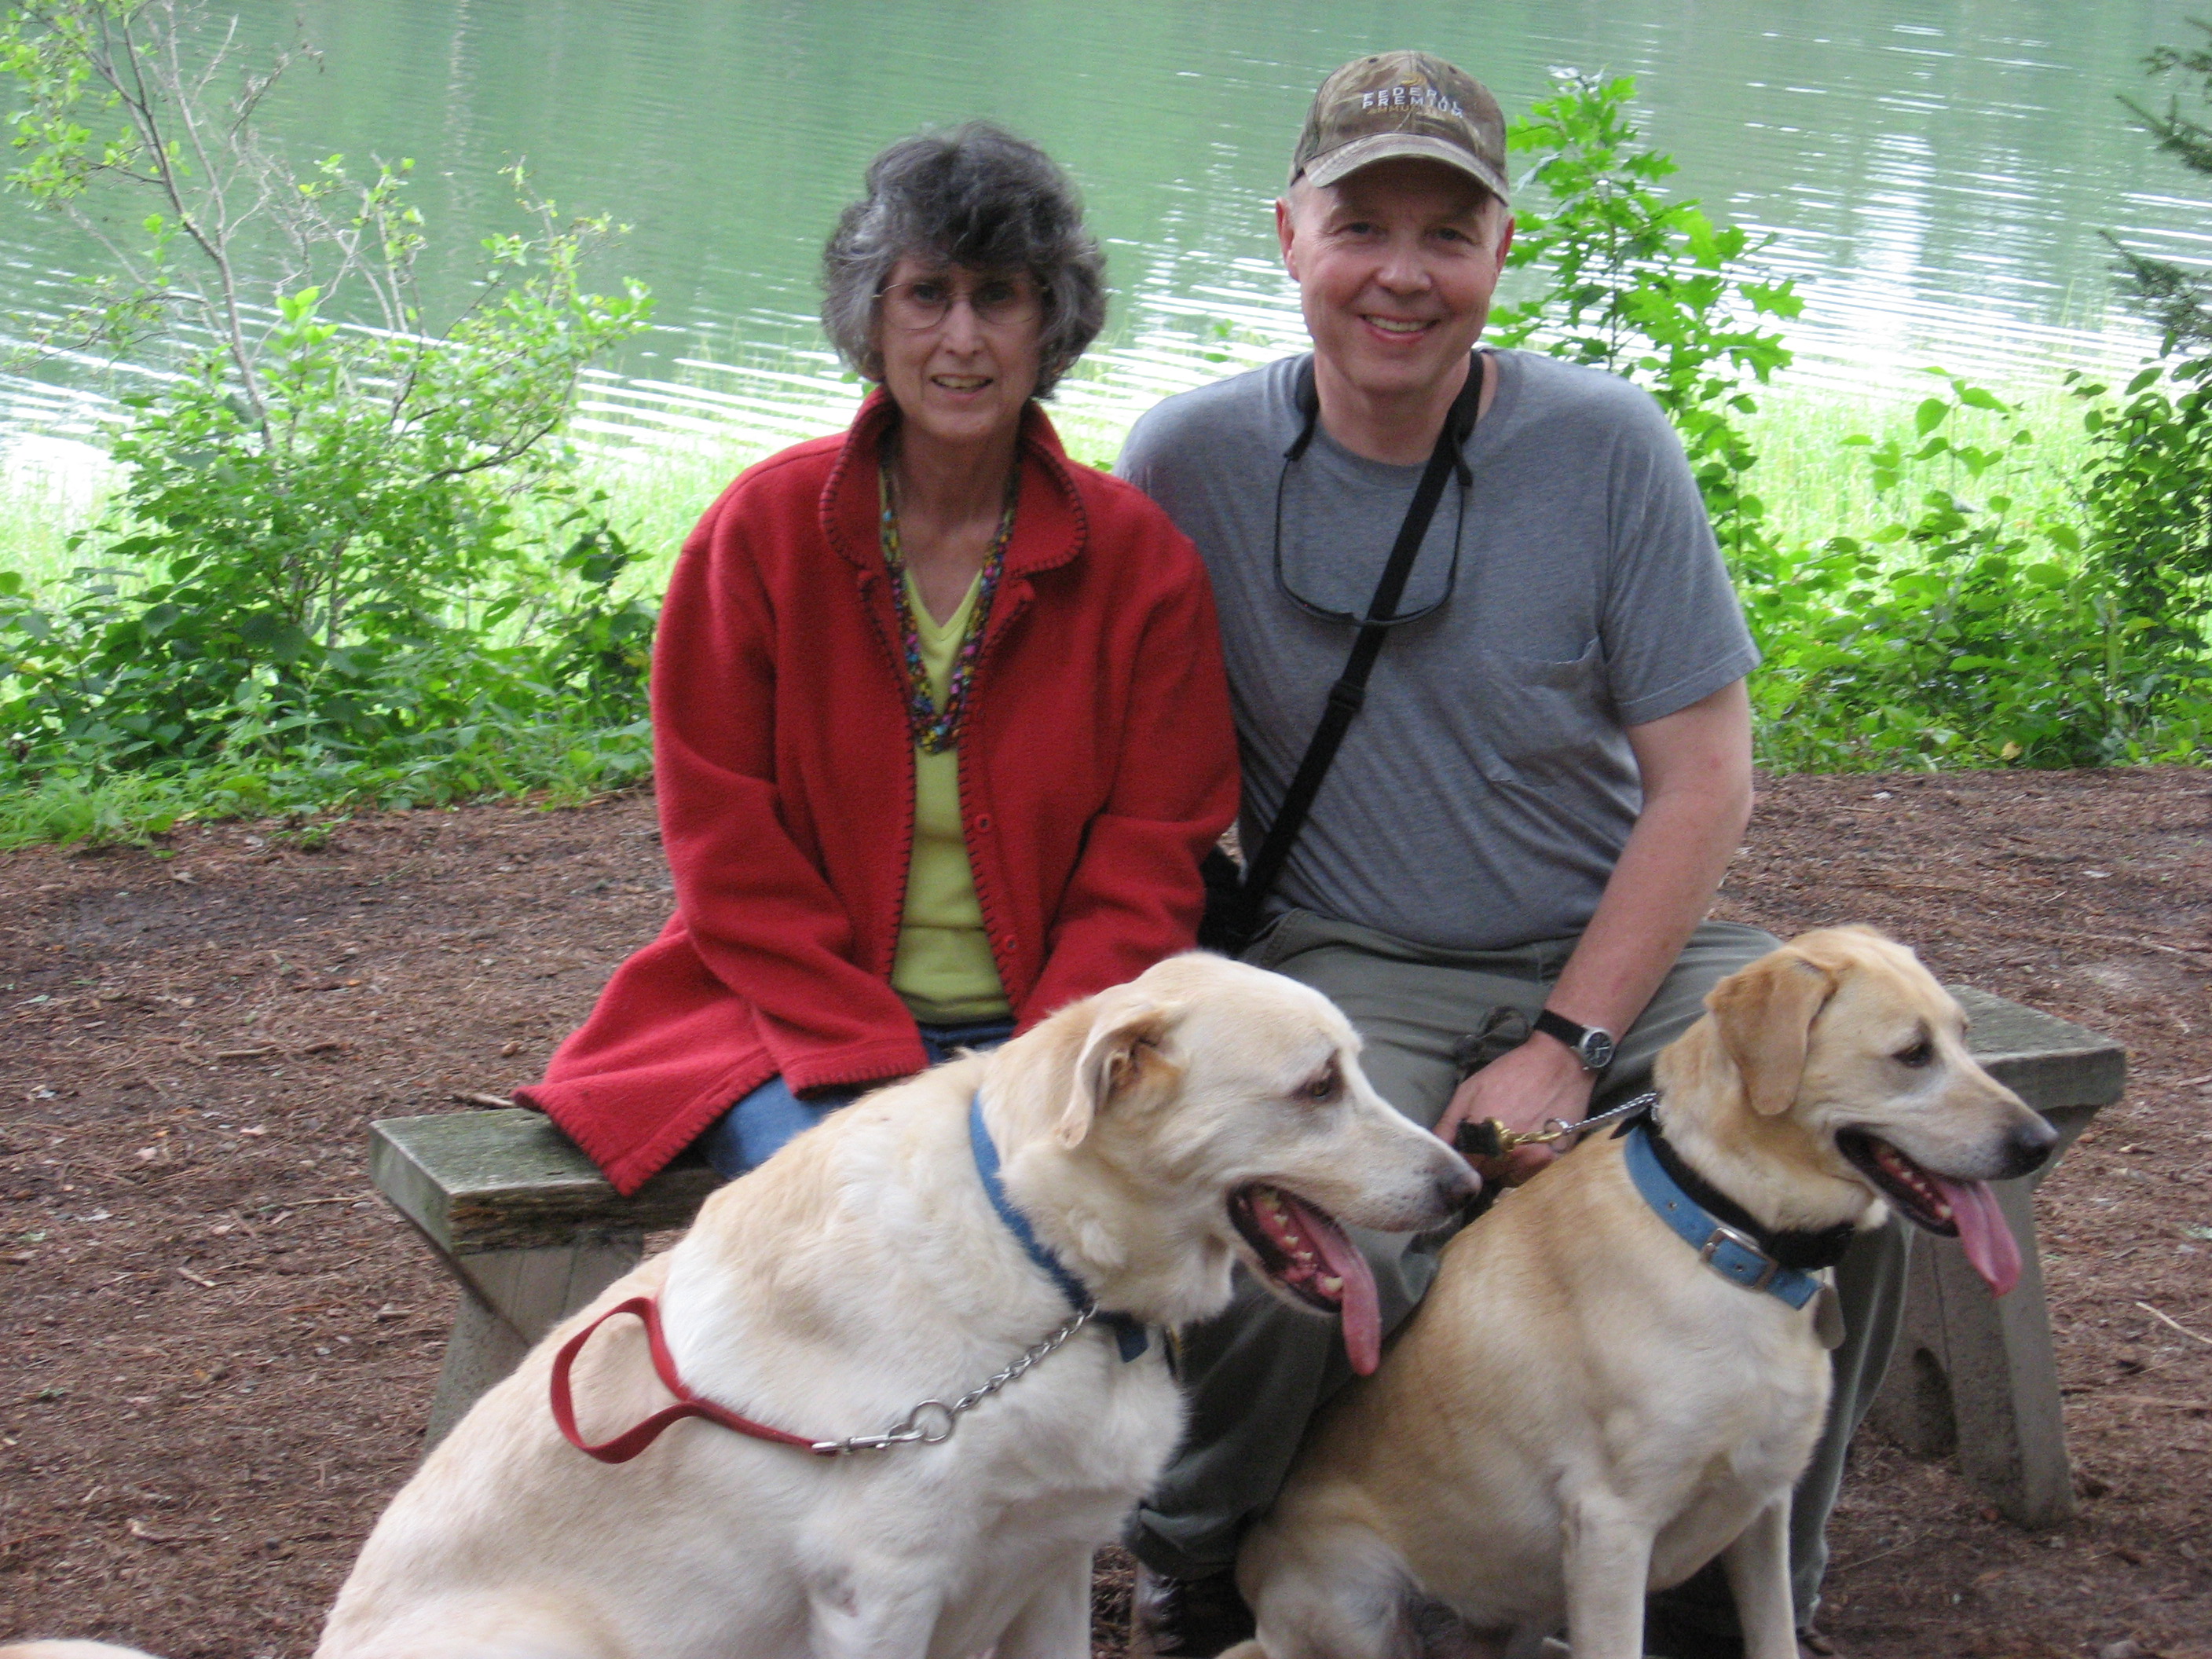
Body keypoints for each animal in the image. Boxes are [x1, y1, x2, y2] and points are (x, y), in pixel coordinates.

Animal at [2, 953, 1475, 1659]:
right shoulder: (879, 1594)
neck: (1051, 1273)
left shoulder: (1051, 1567)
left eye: (1357, 1067)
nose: (1468, 1181)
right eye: (1315, 1087)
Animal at [1224, 927, 2058, 1659]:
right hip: (1356, 1598)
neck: (1727, 1233)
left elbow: (1774, 1638)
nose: (2039, 1143)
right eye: (1912, 1054)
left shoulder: (1763, 1505)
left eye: (1964, 1036)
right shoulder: (1613, 1528)